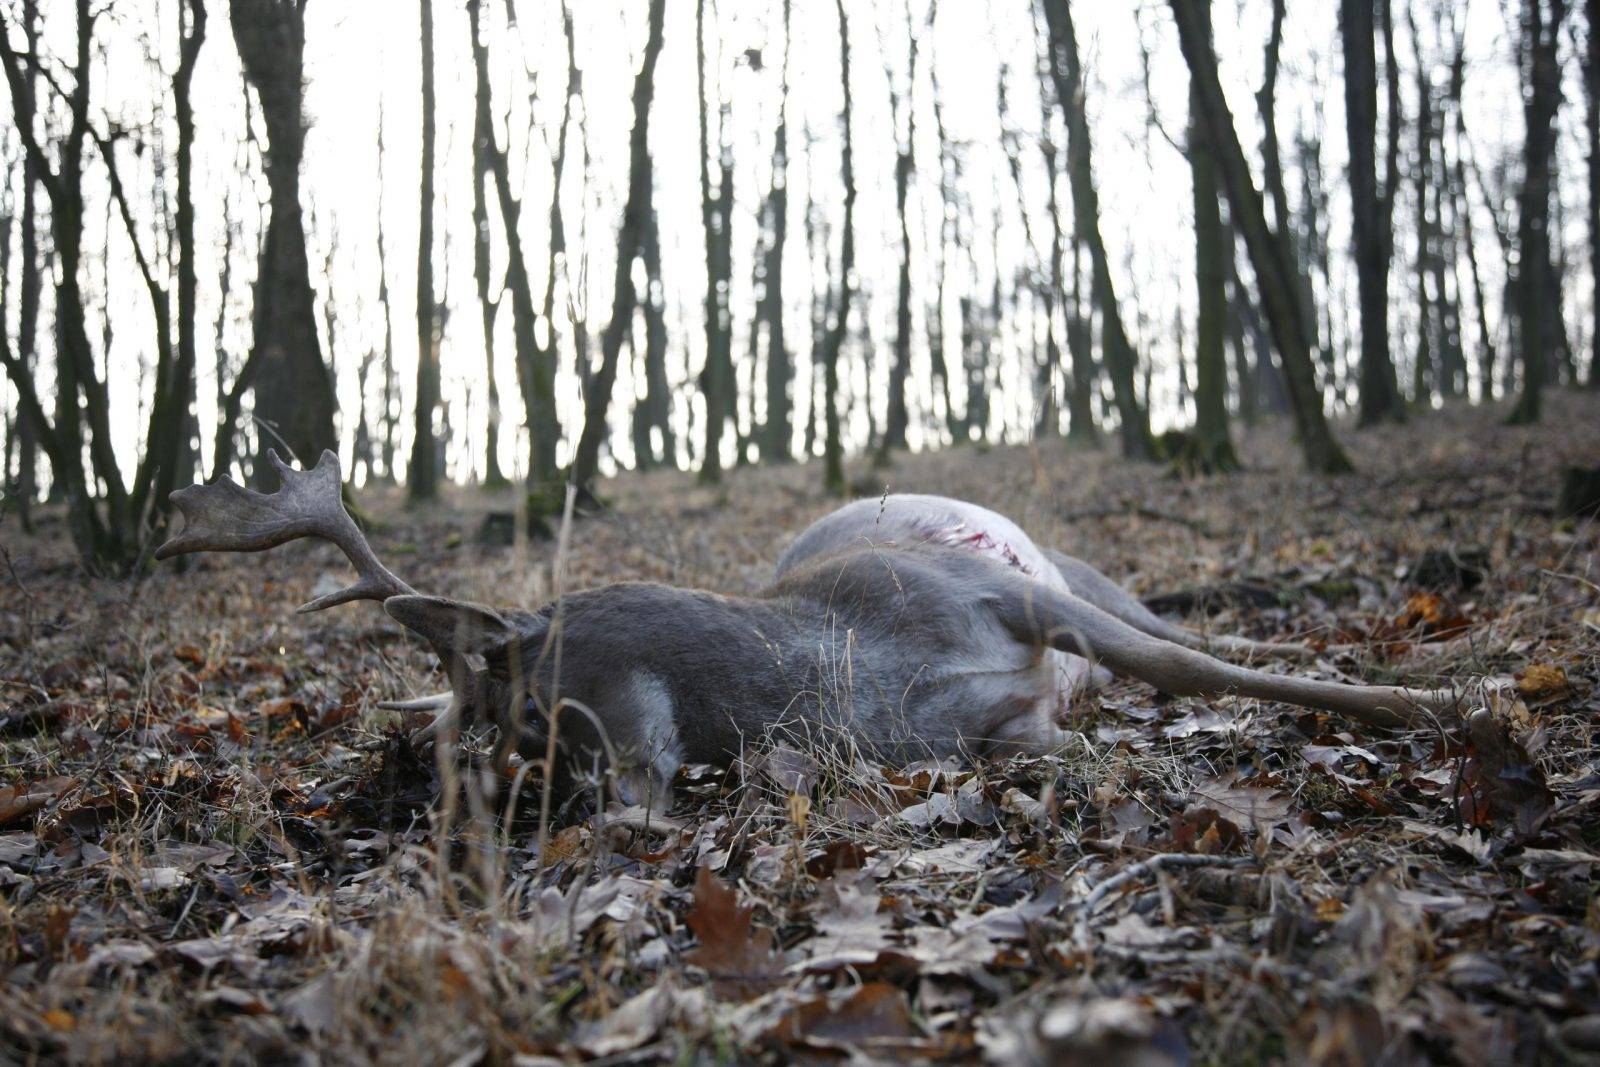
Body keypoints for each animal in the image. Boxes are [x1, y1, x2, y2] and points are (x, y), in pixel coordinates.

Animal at [156, 451, 1459, 809]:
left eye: (532, 702)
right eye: (523, 742)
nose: (613, 792)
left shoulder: (1008, 596)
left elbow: (1188, 664)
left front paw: (1431, 702)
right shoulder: (1001, 724)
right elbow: (1085, 726)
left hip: (1069, 570)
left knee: (1172, 619)